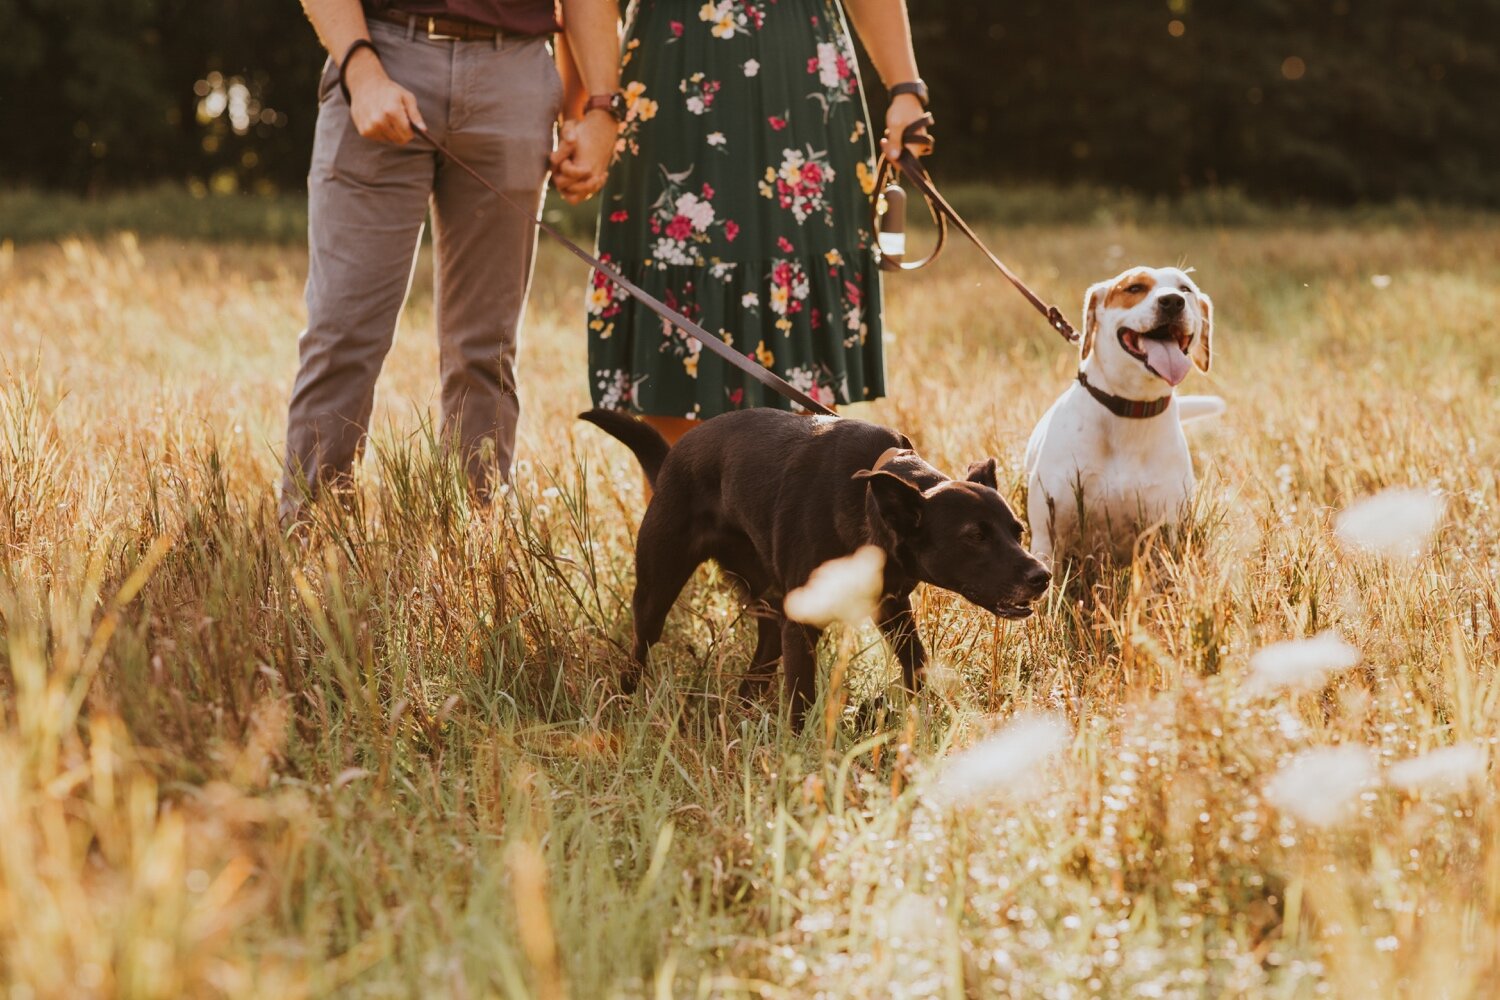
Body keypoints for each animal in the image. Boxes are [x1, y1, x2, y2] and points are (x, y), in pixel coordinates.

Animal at [579, 410, 1050, 731]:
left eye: (1017, 530)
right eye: (975, 536)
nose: (1041, 577)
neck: (868, 502)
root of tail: (672, 458)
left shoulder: (892, 607)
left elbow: (916, 666)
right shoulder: (805, 624)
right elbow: (801, 698)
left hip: (770, 601)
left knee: (761, 658)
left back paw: (744, 711)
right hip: (658, 586)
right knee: (640, 648)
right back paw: (623, 705)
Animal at [1026, 265, 1224, 563]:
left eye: (1185, 289)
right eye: (1134, 288)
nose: (1172, 301)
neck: (1131, 410)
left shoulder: (1163, 533)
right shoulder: (1046, 537)